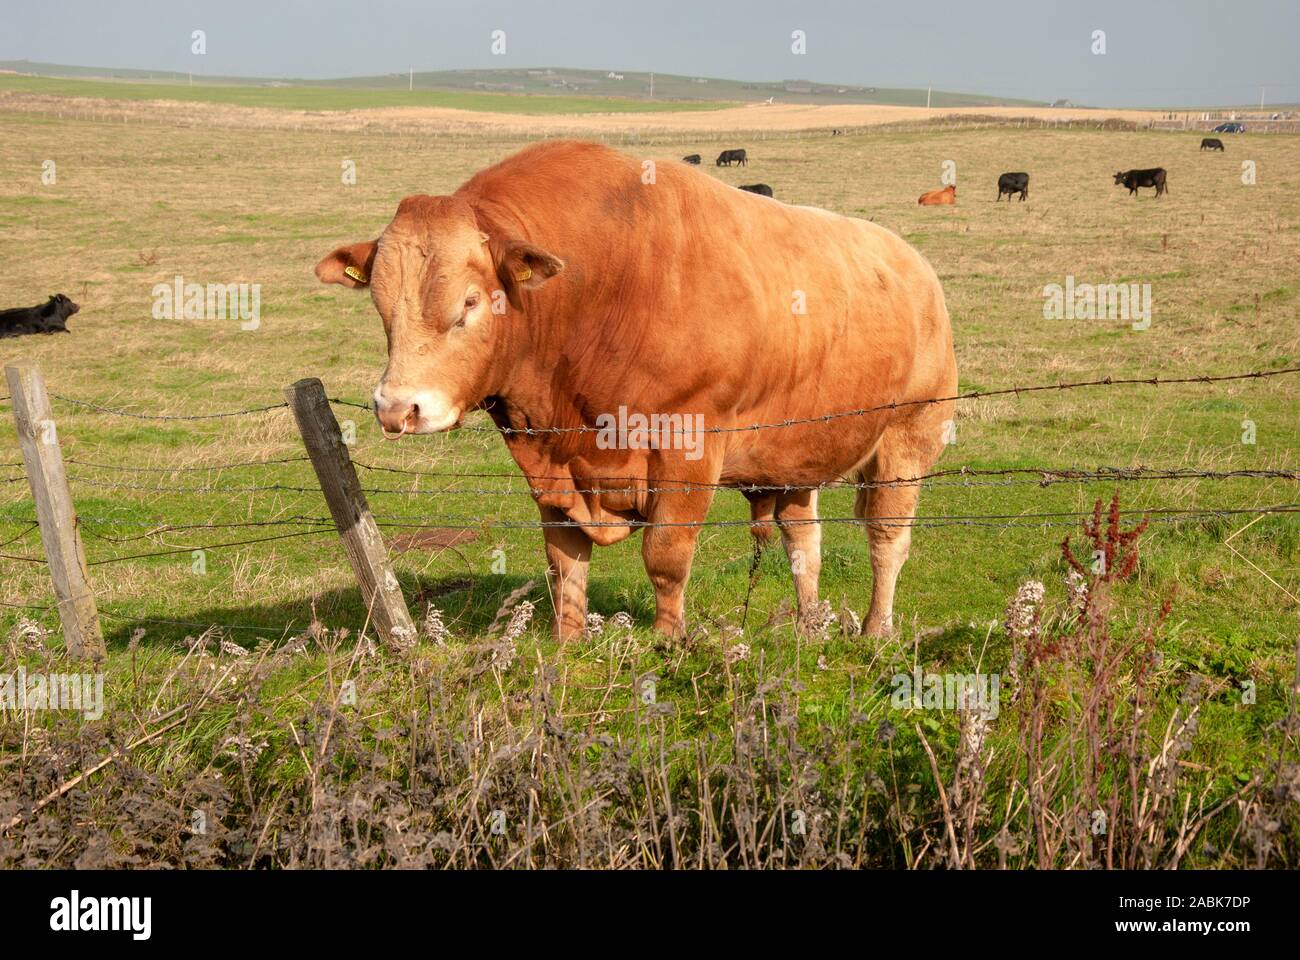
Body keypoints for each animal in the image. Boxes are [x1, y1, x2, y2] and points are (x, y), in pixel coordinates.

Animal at [317, 138, 956, 640]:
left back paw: (876, 630)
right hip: (794, 453)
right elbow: (565, 566)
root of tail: (914, 263)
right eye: (380, 304)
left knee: (887, 538)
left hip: (910, 435)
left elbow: (666, 557)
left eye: (470, 303)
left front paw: (668, 643)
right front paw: (568, 646)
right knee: (804, 543)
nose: (397, 408)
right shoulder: (553, 465)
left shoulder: (687, 448)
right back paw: (808, 626)